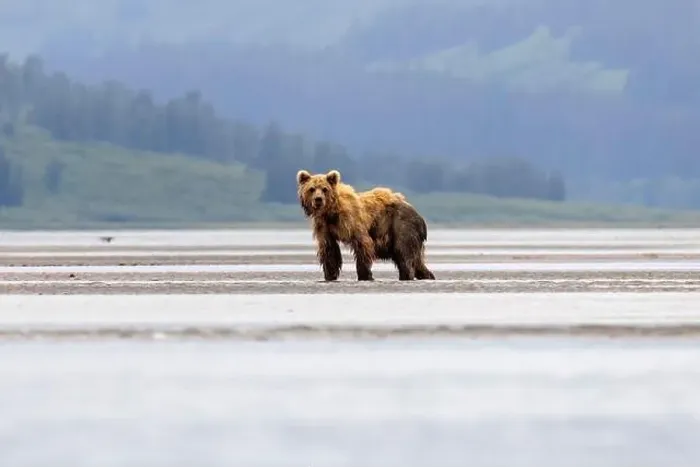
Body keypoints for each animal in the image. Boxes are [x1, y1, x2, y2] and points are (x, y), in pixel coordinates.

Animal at [296, 169, 435, 281]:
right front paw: (330, 275)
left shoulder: (353, 222)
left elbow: (363, 244)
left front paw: (365, 275)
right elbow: (329, 249)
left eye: (325, 189)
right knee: (416, 261)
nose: (318, 199)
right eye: (312, 189)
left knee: (404, 253)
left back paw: (407, 275)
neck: (332, 212)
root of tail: (419, 216)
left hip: (401, 225)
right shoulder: (324, 226)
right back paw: (427, 275)